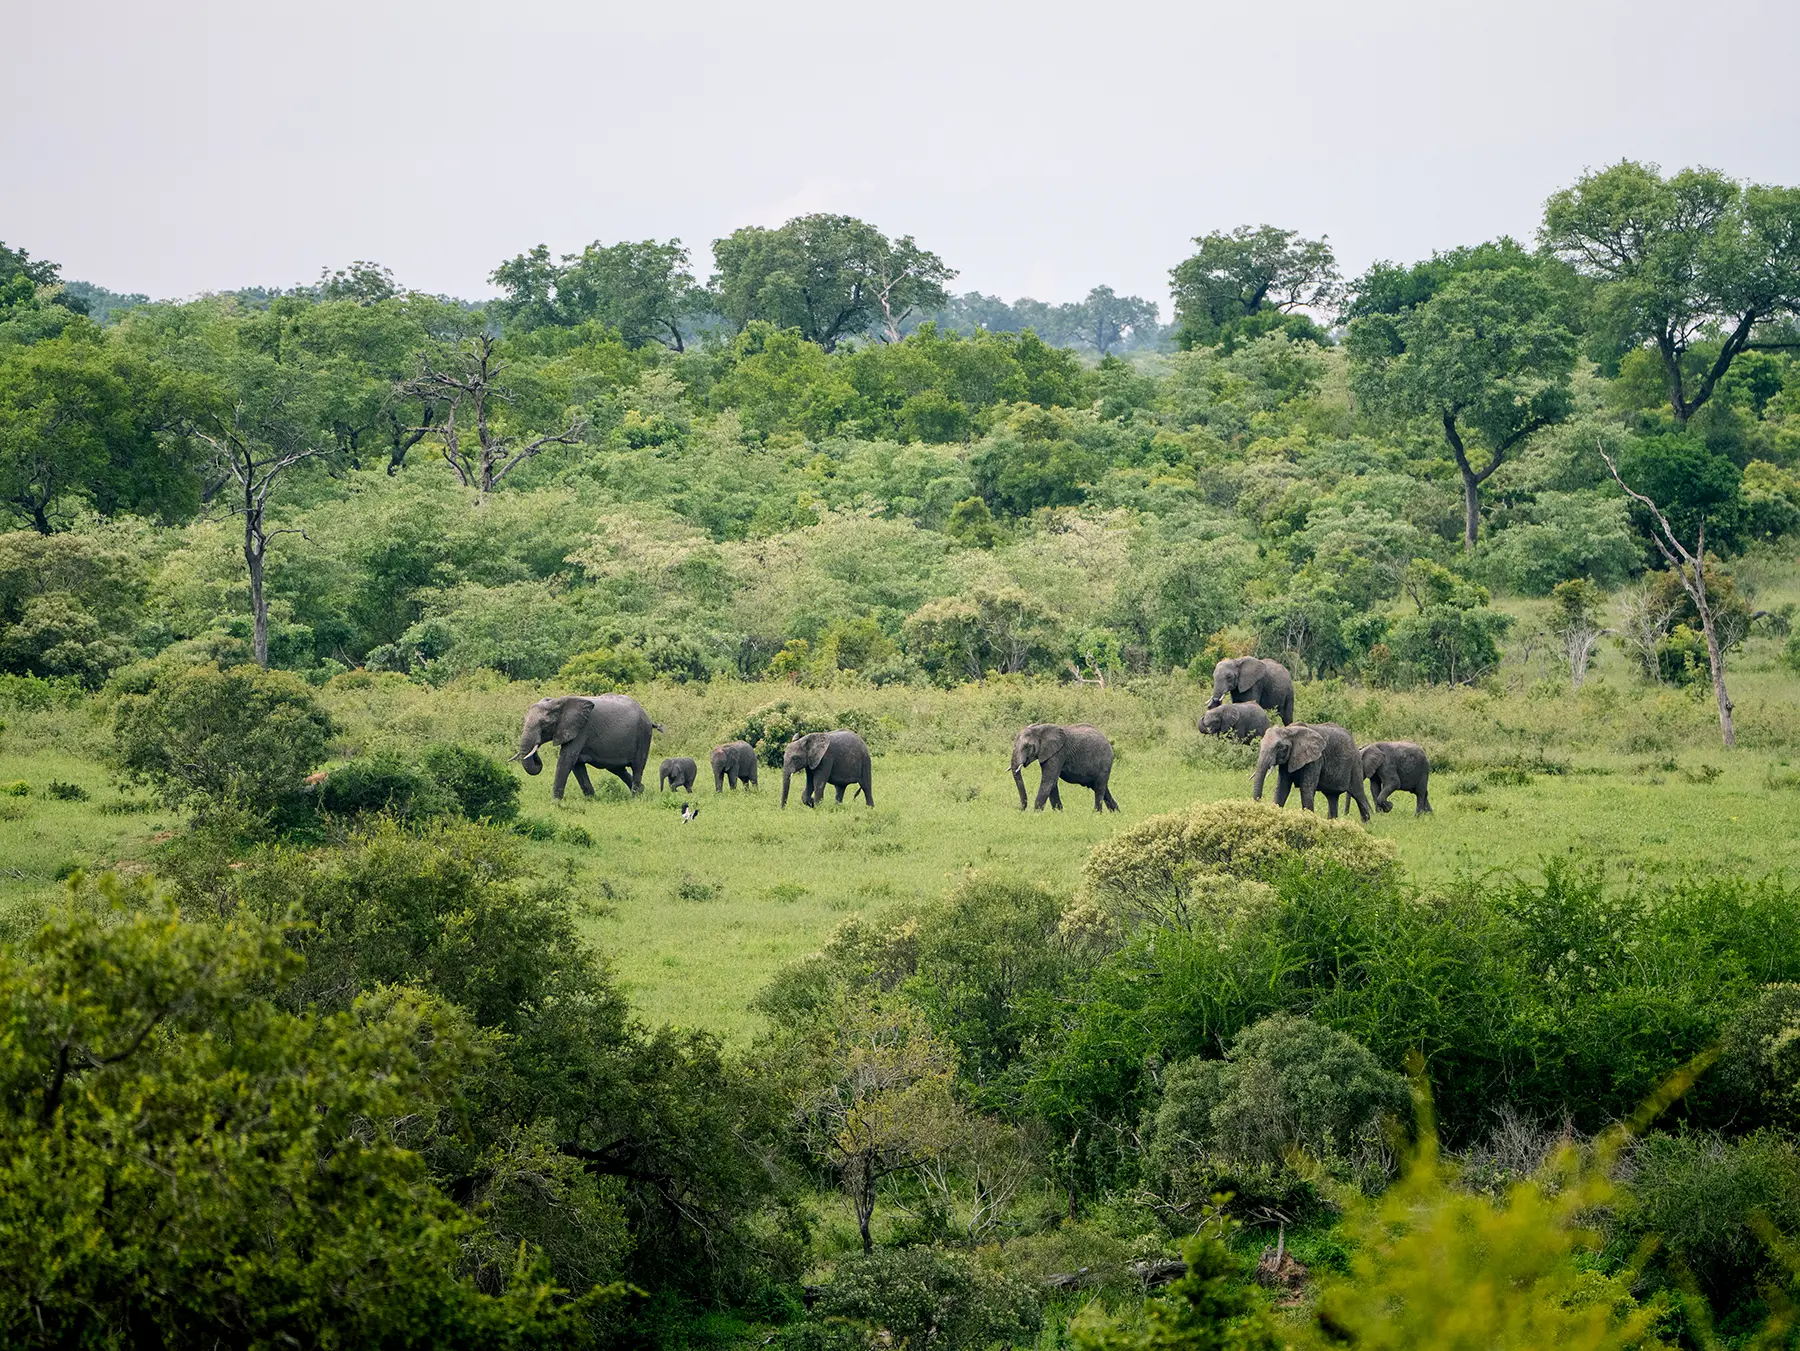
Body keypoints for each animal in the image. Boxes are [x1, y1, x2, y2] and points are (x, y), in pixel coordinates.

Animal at [517, 694, 662, 801]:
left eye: (545, 723)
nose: (535, 750)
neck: (558, 702)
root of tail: (649, 718)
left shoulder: (581, 730)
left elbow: (567, 759)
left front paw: (555, 802)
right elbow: (576, 764)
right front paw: (591, 799)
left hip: (643, 735)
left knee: (638, 766)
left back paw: (635, 797)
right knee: (617, 768)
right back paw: (642, 790)